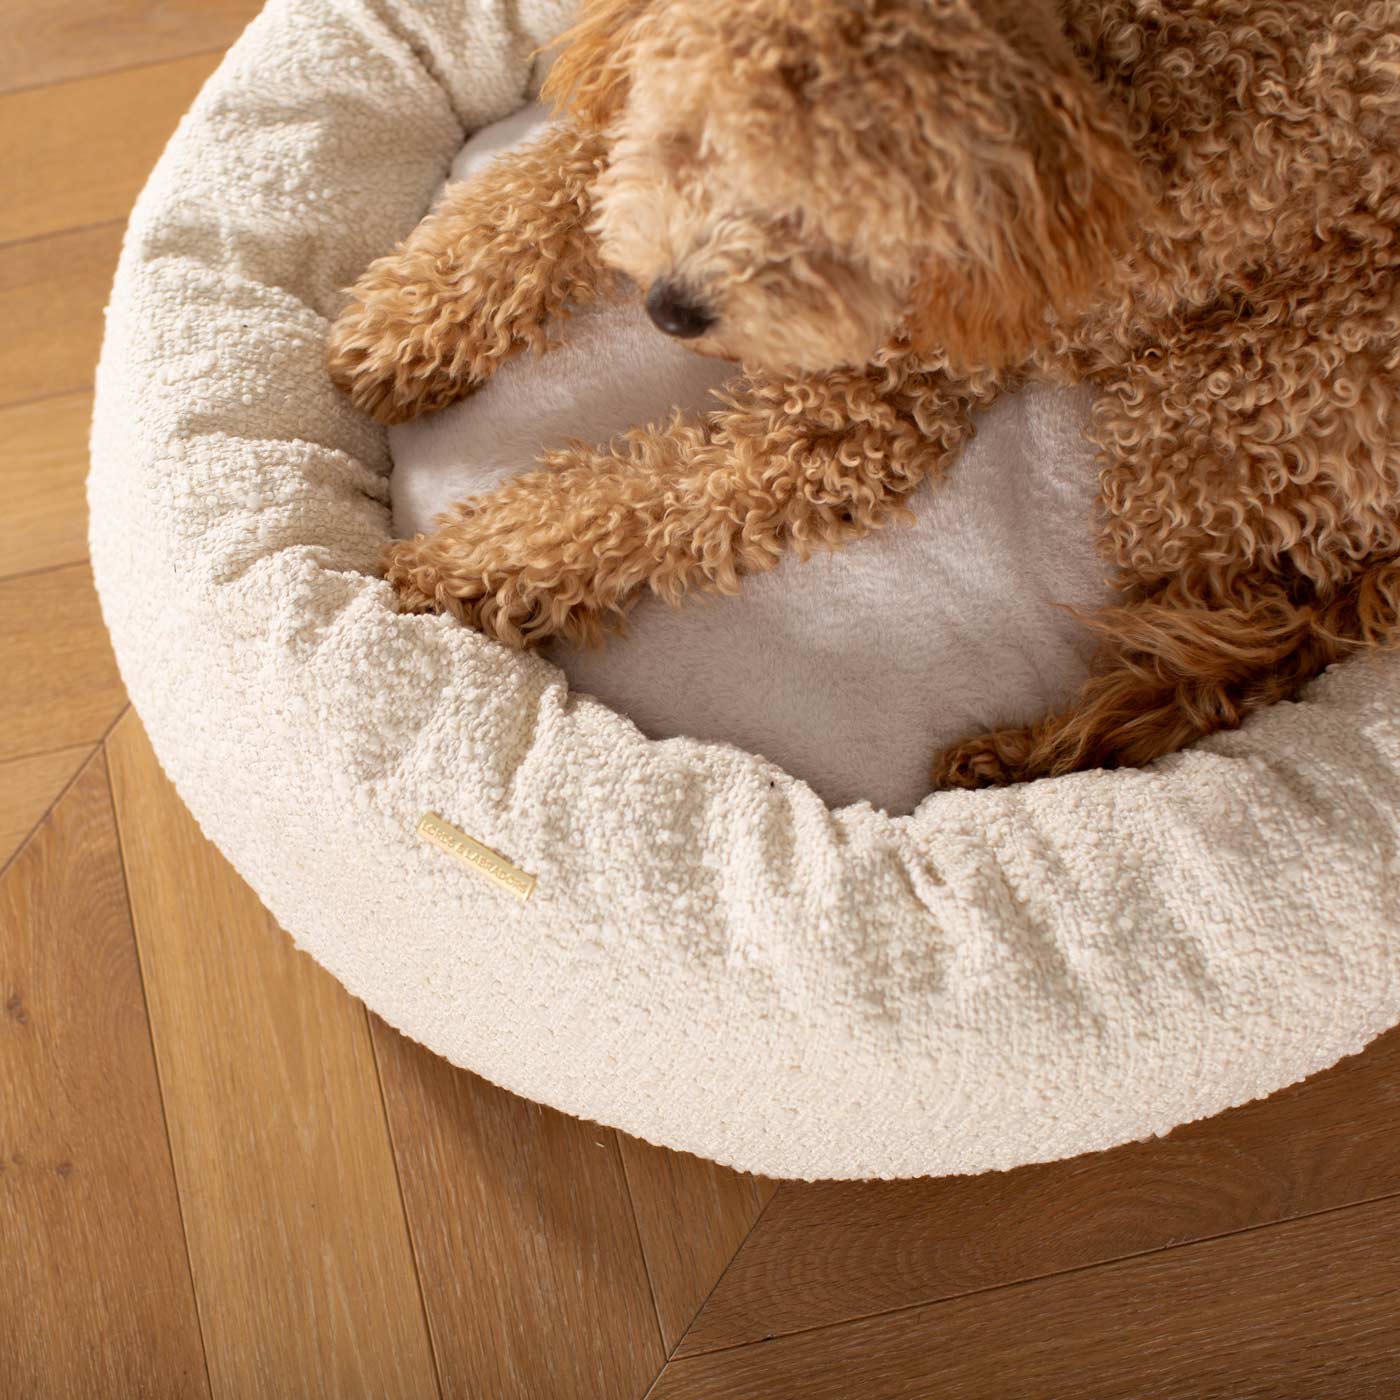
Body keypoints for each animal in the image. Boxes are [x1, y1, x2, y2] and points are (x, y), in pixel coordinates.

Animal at [324, 0, 1400, 789]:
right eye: (701, 136)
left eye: (849, 219)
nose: (671, 308)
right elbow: (561, 180)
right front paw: (407, 323)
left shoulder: (855, 423)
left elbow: (642, 504)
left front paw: (455, 565)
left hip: (1215, 399)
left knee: (1242, 646)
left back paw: (1026, 755)